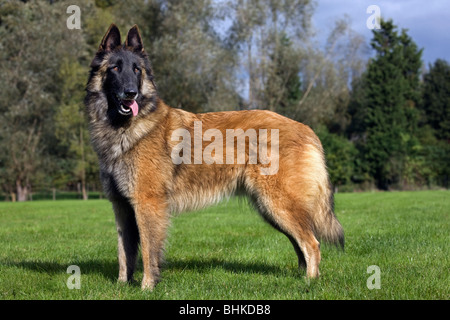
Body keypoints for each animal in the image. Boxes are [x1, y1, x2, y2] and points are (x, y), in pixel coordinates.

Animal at [85, 25, 344, 290]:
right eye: (115, 68)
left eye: (137, 69)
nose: (131, 94)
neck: (126, 127)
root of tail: (307, 129)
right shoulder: (122, 207)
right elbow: (124, 252)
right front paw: (121, 285)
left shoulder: (147, 204)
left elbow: (148, 251)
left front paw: (147, 286)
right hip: (271, 208)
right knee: (301, 244)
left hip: (278, 204)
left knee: (312, 243)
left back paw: (309, 283)